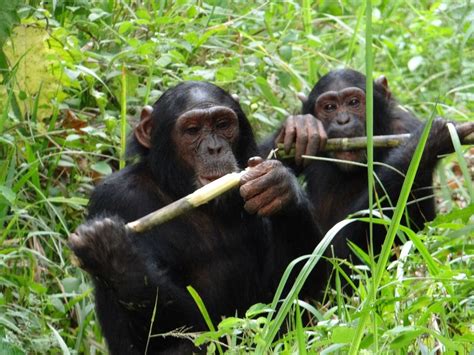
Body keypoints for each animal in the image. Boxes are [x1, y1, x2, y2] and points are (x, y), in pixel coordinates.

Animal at [69, 82, 322, 354]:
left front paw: (279, 186)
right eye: (192, 130)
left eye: (222, 124)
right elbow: (168, 334)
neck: (174, 188)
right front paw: (110, 252)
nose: (214, 148)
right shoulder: (114, 199)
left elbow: (293, 293)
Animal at [262, 69, 474, 272]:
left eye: (354, 102)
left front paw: (426, 140)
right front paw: (300, 127)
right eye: (329, 107)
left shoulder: (404, 127)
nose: (343, 120)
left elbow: (345, 244)